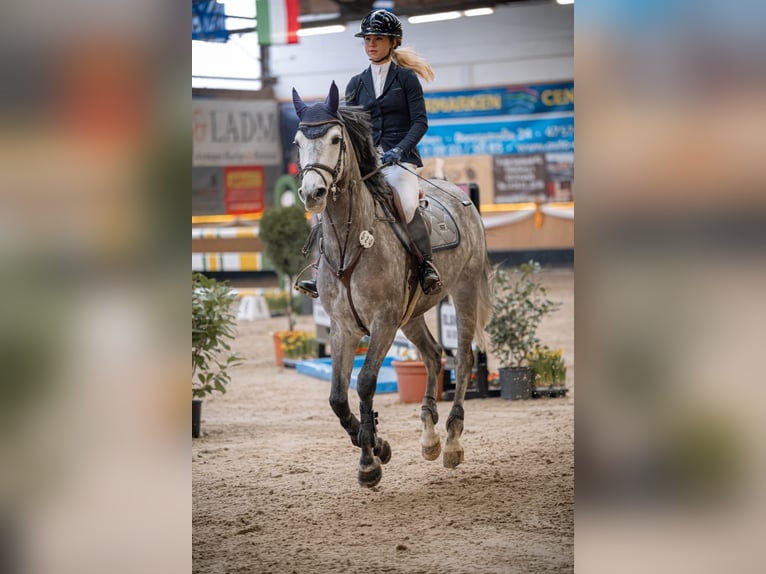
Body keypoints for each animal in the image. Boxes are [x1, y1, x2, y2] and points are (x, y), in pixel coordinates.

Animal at [292, 81, 494, 487]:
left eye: (335, 139)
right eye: (297, 141)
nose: (312, 193)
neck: (349, 242)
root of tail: (460, 194)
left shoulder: (382, 322)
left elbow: (366, 382)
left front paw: (370, 460)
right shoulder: (343, 327)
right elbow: (337, 397)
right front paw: (376, 445)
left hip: (462, 292)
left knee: (463, 358)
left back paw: (451, 442)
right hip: (411, 314)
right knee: (433, 354)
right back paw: (429, 437)